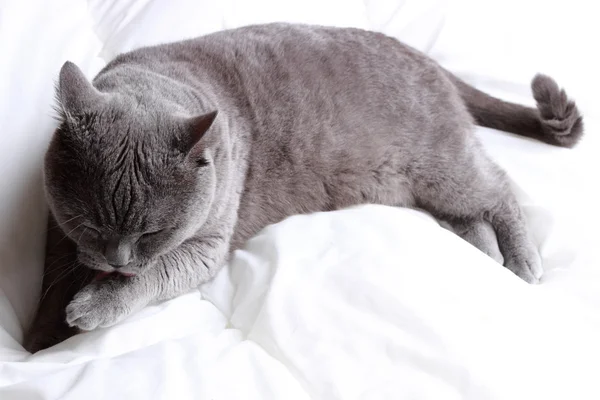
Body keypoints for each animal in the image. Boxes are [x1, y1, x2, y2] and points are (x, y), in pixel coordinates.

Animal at [24, 23, 580, 352]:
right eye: (90, 224)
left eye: (152, 233)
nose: (115, 259)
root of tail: (429, 60)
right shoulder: (55, 226)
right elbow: (50, 279)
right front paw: (40, 336)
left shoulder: (205, 248)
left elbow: (149, 277)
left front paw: (89, 308)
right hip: (421, 186)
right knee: (472, 214)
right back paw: (486, 254)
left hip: (442, 166)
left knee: (498, 188)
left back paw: (522, 261)